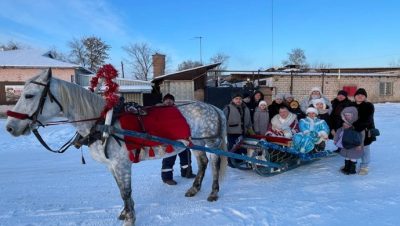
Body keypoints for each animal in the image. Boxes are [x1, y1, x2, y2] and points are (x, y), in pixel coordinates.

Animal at [4, 69, 227, 226]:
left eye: (29, 95)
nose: (10, 127)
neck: (103, 122)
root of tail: (213, 107)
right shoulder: (111, 165)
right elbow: (121, 190)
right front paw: (125, 213)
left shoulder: (121, 164)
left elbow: (126, 192)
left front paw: (130, 218)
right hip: (196, 143)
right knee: (203, 162)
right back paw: (194, 188)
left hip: (210, 142)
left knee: (215, 164)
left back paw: (214, 192)